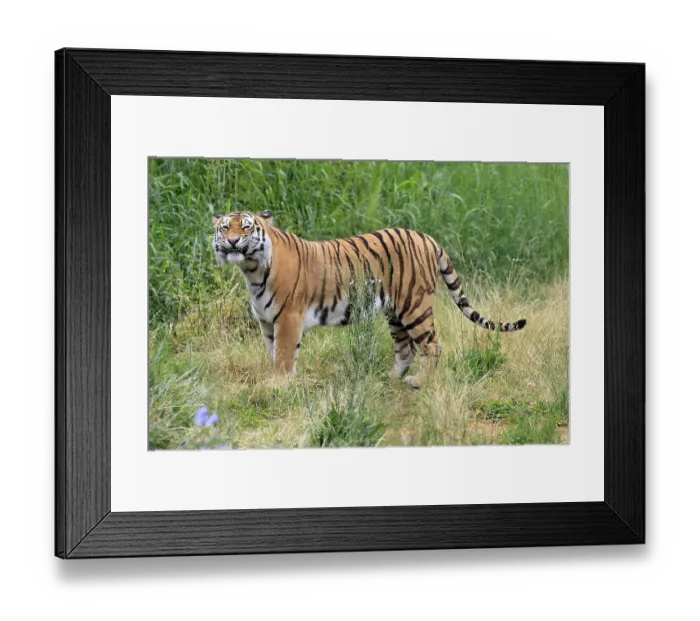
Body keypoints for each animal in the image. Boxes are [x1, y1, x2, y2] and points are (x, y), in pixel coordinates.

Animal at [212, 210, 526, 388]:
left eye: (247, 227)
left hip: (415, 306)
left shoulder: (288, 317)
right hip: (395, 311)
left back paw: (420, 382)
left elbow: (284, 355)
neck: (252, 270)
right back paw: (392, 379)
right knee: (405, 349)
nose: (232, 242)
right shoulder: (267, 321)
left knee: (432, 346)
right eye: (225, 228)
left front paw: (278, 385)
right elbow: (275, 353)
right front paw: (282, 381)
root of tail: (427, 237)